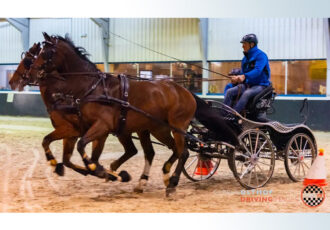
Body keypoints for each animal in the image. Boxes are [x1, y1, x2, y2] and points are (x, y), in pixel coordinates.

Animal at [27, 32, 197, 196]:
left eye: (47, 52)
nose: (30, 74)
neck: (92, 88)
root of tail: (185, 91)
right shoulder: (83, 129)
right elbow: (50, 142)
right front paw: (57, 164)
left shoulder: (101, 126)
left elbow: (82, 146)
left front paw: (100, 170)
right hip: (157, 129)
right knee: (165, 151)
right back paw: (157, 177)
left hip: (177, 127)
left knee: (183, 153)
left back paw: (172, 183)